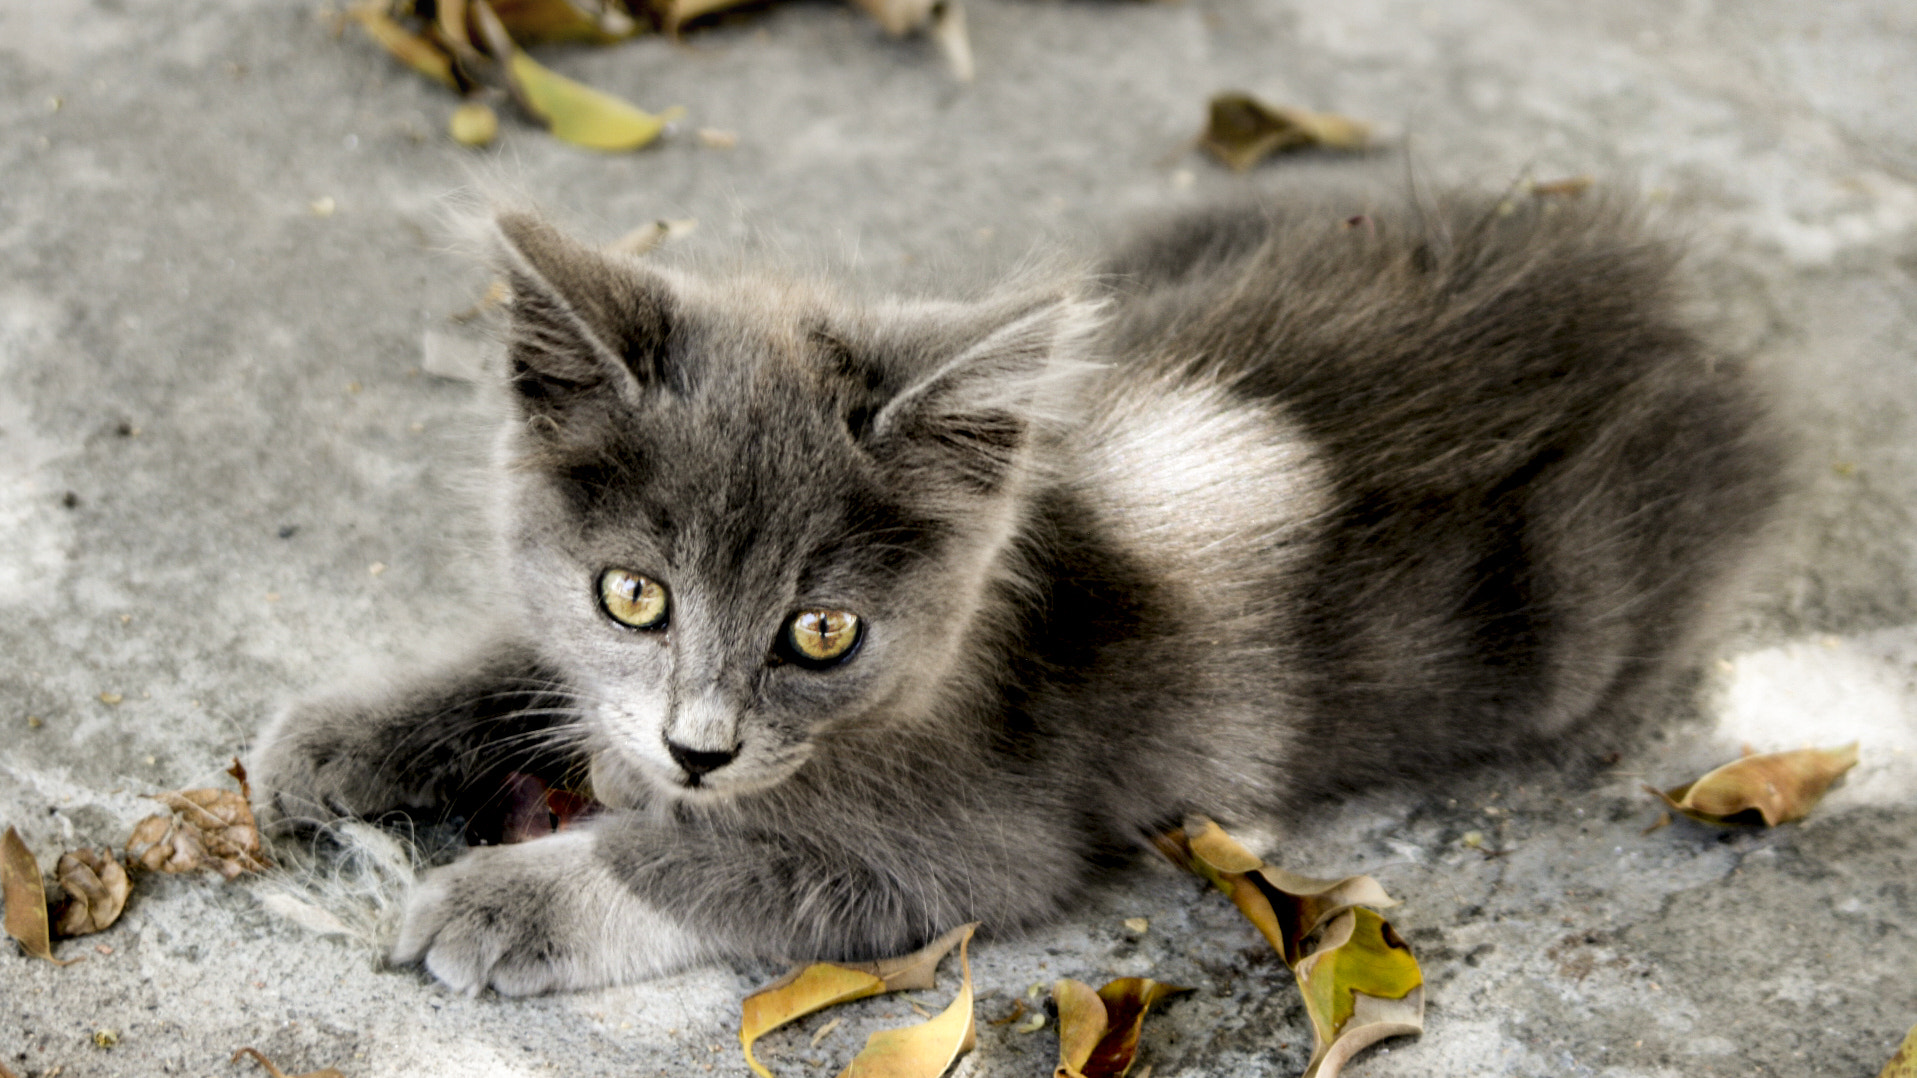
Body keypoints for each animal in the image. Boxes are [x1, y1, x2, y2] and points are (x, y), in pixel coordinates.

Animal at [247, 190, 1786, 989]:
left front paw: (504, 903)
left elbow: (716, 858)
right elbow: (537, 664)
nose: (699, 747)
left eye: (823, 631)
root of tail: (1655, 296)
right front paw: (346, 737)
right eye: (635, 595)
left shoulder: (976, 839)